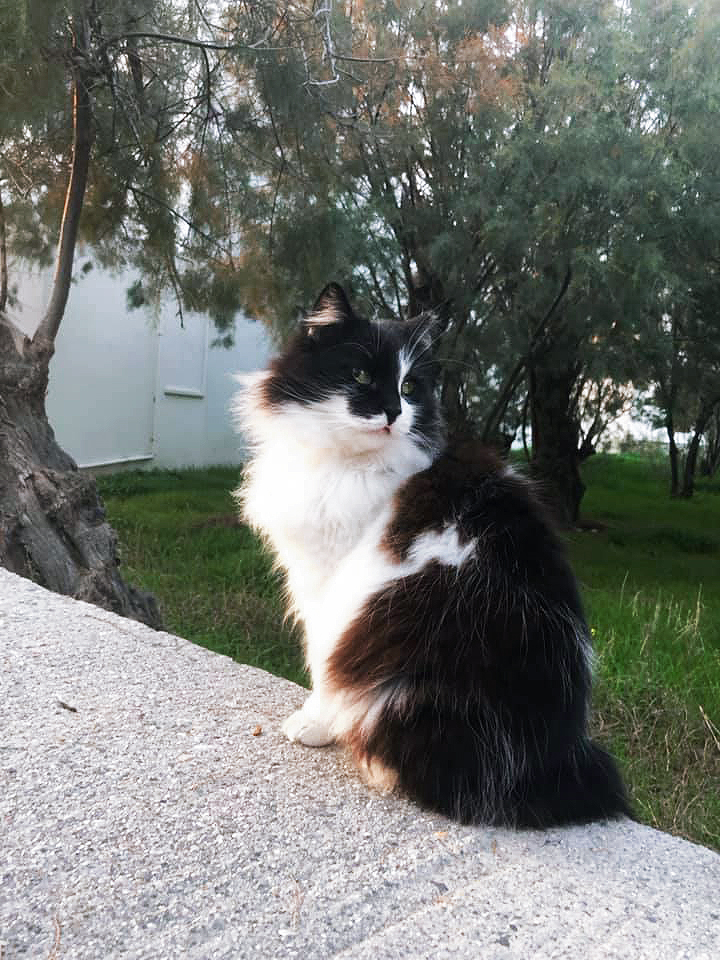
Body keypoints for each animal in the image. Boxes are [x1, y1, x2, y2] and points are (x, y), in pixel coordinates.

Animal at [235, 282, 630, 827]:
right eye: (361, 376)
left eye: (409, 388)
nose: (393, 414)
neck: (346, 465)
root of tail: (550, 760)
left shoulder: (330, 587)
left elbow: (321, 666)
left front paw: (314, 724)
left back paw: (375, 764)